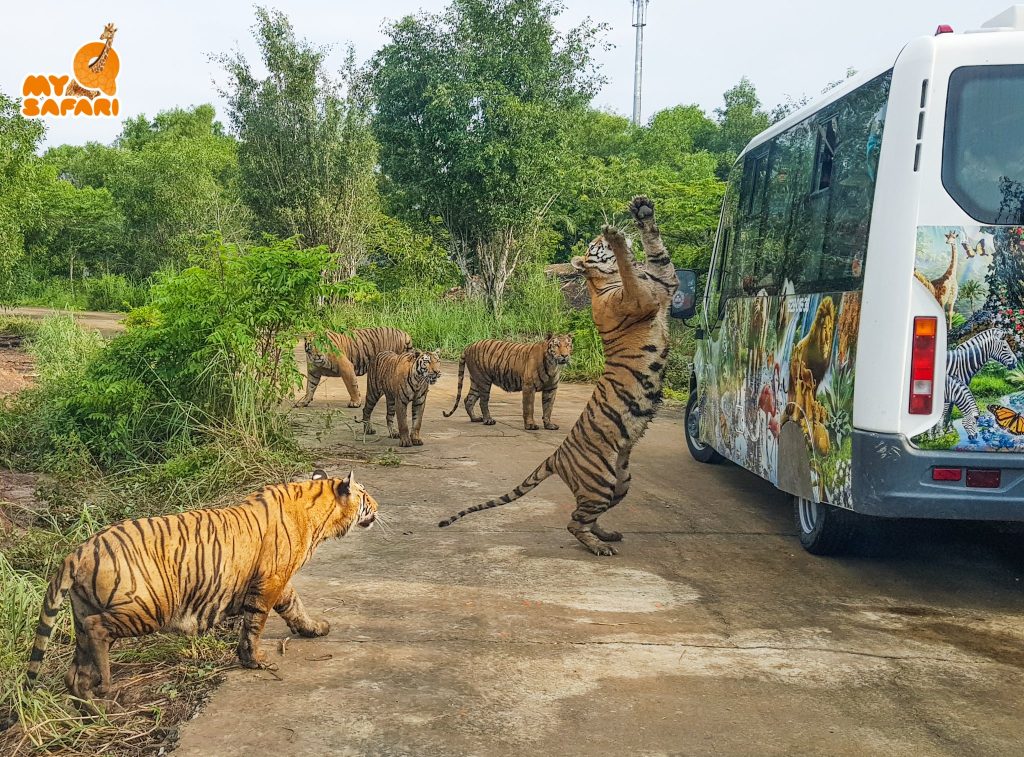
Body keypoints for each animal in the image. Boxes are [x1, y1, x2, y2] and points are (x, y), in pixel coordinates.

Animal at [23, 471, 380, 700]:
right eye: (365, 495)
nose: (377, 507)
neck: (316, 509)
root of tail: (81, 549)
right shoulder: (270, 580)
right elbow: (255, 624)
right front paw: (255, 660)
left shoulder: (279, 582)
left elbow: (295, 606)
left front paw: (315, 628)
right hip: (150, 606)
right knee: (98, 631)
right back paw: (106, 686)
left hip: (83, 612)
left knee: (74, 672)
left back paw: (91, 709)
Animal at [444, 333, 577, 430]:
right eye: (557, 345)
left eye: (568, 345)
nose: (564, 356)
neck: (553, 364)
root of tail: (469, 346)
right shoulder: (529, 387)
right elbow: (529, 407)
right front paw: (530, 425)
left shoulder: (551, 389)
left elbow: (548, 408)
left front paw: (549, 425)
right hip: (484, 380)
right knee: (483, 401)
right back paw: (488, 420)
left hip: (476, 381)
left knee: (469, 399)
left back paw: (475, 418)